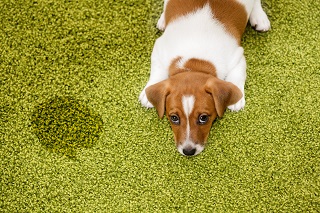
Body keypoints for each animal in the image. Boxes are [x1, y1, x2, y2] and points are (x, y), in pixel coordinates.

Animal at [139, 0, 270, 156]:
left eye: (203, 118)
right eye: (174, 118)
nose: (188, 151)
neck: (194, 61)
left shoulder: (237, 57)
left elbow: (237, 76)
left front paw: (237, 98)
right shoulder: (159, 48)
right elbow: (157, 71)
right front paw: (147, 93)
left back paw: (259, 17)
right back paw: (162, 19)